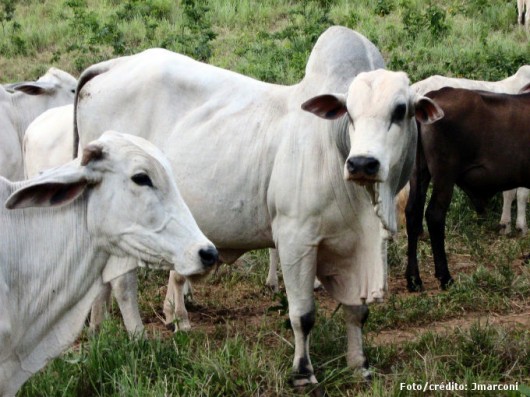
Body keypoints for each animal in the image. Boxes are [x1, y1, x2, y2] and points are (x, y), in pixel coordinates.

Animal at [72, 25, 440, 384]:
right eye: (349, 112)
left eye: (400, 110)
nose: (362, 163)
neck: (334, 147)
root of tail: (112, 65)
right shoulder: (295, 239)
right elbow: (303, 314)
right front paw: (302, 372)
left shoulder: (361, 245)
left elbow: (357, 310)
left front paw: (359, 365)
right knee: (123, 283)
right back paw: (138, 339)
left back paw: (99, 331)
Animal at [404, 86, 528, 290]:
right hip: (445, 173)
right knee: (434, 214)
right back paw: (445, 277)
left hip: (418, 171)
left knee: (413, 213)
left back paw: (414, 279)